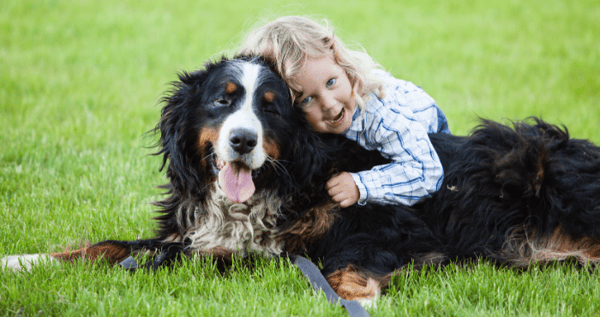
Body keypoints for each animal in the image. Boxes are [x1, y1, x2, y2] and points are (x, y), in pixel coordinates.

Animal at [3, 55, 600, 302]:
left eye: (271, 108)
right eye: (222, 101)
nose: (243, 141)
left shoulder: (383, 228)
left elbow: (344, 263)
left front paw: (352, 297)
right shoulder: (193, 232)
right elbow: (108, 247)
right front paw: (24, 260)